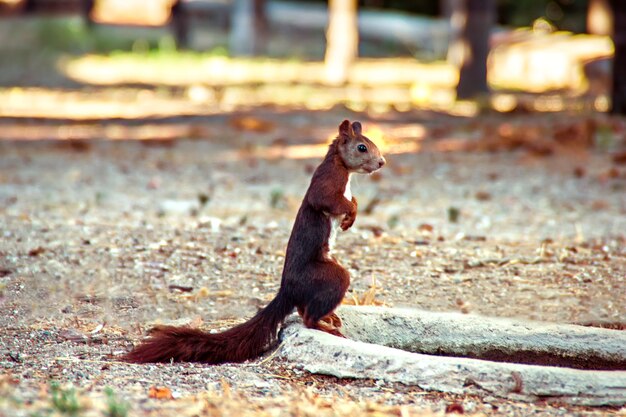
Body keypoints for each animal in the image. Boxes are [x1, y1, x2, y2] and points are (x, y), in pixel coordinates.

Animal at [122, 118, 382, 362]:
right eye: (361, 147)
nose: (382, 162)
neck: (342, 168)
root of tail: (287, 290)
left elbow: (353, 201)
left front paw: (352, 214)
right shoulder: (327, 182)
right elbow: (327, 199)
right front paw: (350, 212)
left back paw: (330, 317)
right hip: (328, 275)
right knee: (308, 315)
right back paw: (324, 326)